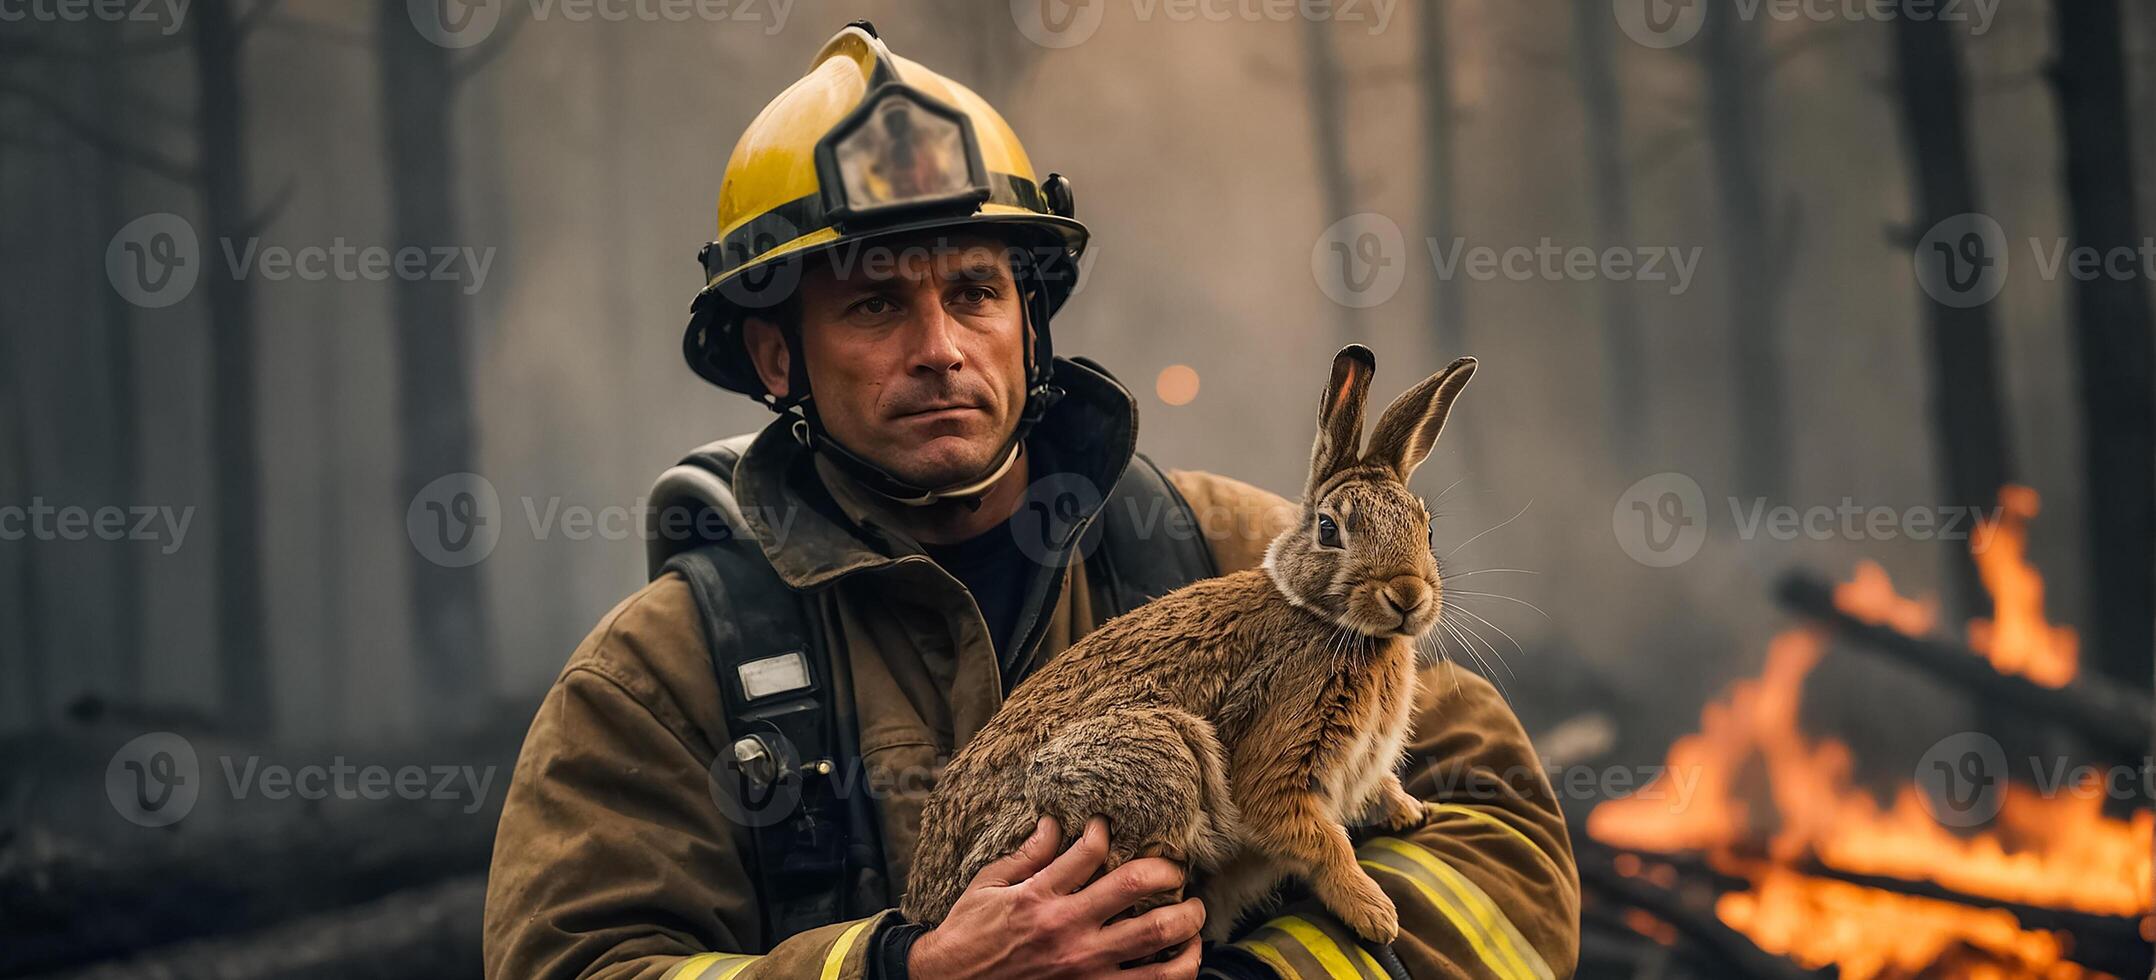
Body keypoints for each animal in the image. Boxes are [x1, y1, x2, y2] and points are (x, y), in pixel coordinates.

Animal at [896, 346, 1483, 952]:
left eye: (1427, 530)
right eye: (1328, 529)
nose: (1408, 595)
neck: (1324, 618)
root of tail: (930, 911)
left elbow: (1377, 789)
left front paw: (1409, 811)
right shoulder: (1280, 757)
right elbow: (1321, 843)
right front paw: (1374, 913)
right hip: (1150, 756)